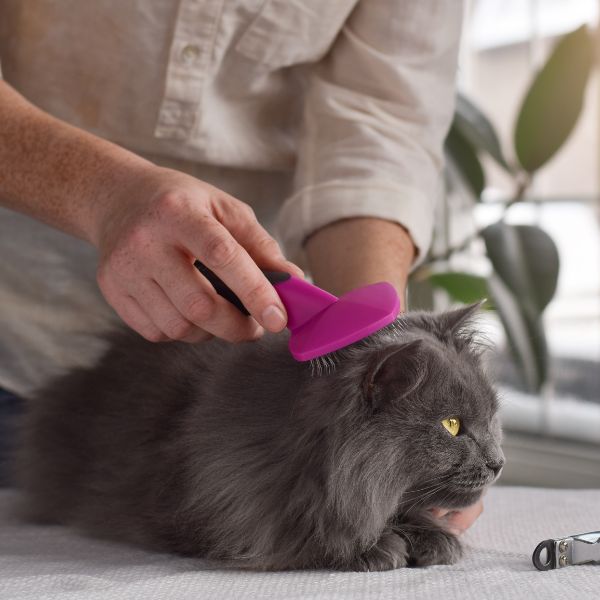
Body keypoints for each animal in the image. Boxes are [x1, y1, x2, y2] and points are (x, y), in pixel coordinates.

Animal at [16, 308, 504, 568]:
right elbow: (306, 534)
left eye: (491, 418)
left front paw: (434, 539)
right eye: (452, 426)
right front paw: (376, 549)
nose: (498, 463)